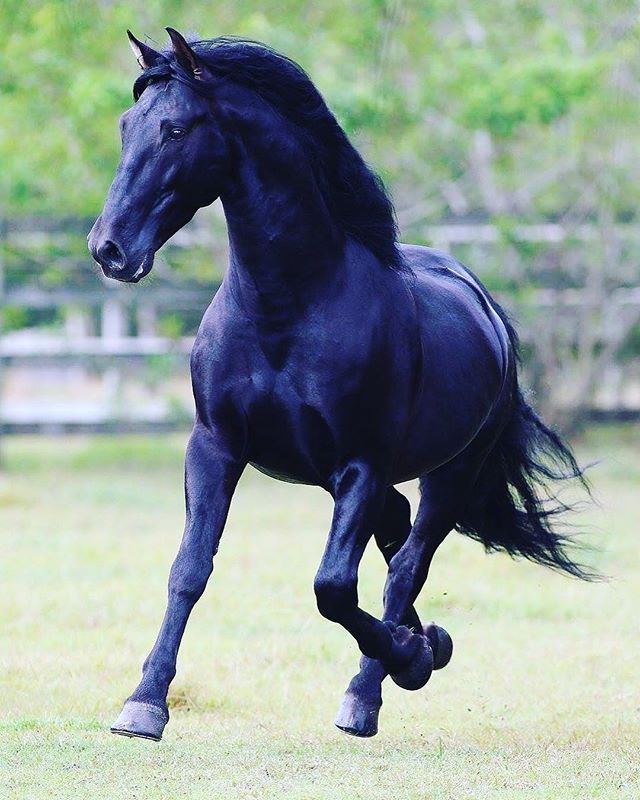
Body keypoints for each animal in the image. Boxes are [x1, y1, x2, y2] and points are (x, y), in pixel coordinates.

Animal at [88, 28, 592, 741]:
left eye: (177, 128)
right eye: (127, 125)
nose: (109, 249)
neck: (291, 308)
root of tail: (486, 308)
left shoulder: (361, 465)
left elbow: (332, 587)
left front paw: (405, 658)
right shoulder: (215, 446)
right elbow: (189, 570)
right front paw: (143, 705)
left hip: (448, 474)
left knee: (406, 565)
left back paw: (379, 684)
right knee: (396, 544)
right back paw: (424, 645)